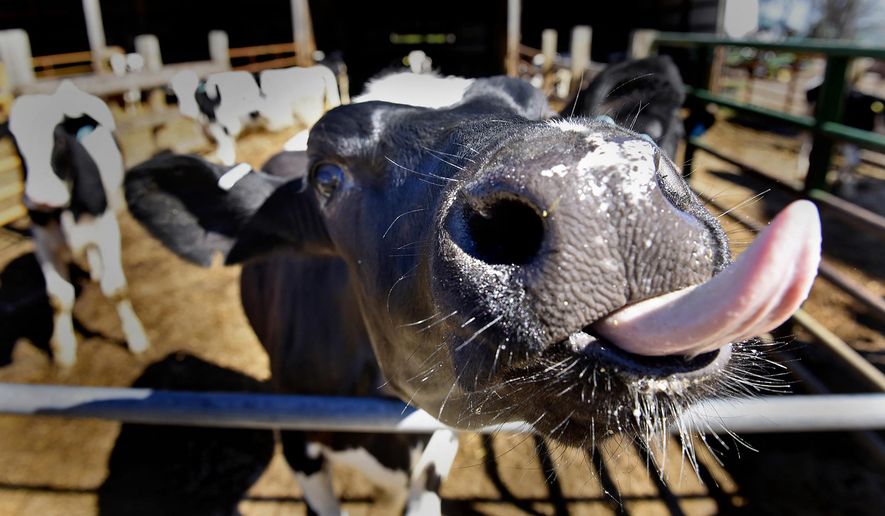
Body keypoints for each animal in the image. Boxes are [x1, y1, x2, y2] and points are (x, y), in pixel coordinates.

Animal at [7, 81, 149, 367]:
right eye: (16, 146)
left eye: (60, 139)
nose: (41, 198)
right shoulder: (43, 242)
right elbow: (58, 297)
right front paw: (64, 351)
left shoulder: (106, 228)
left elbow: (116, 288)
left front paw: (136, 338)